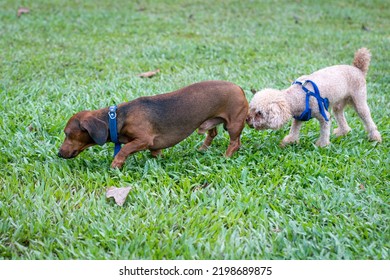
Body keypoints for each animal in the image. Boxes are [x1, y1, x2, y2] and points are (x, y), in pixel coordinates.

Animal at [248, 47, 382, 147]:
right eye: (251, 109)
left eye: (259, 113)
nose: (247, 120)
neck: (297, 96)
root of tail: (357, 68)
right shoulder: (299, 117)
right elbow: (294, 130)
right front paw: (289, 142)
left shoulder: (324, 116)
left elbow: (324, 131)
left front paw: (322, 145)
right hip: (339, 102)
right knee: (339, 113)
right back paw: (343, 131)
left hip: (359, 100)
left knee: (366, 117)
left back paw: (375, 137)